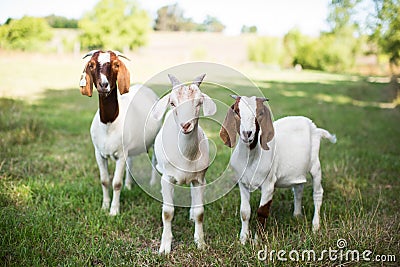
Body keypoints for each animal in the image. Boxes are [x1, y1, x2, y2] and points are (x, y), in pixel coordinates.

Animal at [79, 50, 161, 217]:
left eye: (116, 64)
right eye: (91, 65)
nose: (103, 85)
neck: (109, 123)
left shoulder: (121, 155)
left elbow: (116, 183)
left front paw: (114, 211)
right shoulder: (99, 153)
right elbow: (104, 180)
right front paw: (104, 207)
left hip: (154, 139)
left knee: (154, 159)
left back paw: (152, 183)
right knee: (131, 162)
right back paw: (129, 185)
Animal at [152, 73, 217, 255]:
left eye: (199, 102)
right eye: (172, 103)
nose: (185, 125)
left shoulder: (200, 179)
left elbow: (200, 212)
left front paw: (200, 243)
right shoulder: (167, 178)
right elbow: (168, 212)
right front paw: (165, 247)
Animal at [220, 96, 336, 245]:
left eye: (260, 113)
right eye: (236, 111)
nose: (247, 133)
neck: (251, 157)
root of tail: (315, 128)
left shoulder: (268, 185)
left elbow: (262, 212)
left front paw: (257, 241)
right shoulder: (242, 183)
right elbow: (245, 212)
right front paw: (243, 240)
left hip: (315, 165)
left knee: (317, 193)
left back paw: (315, 226)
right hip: (298, 170)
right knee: (298, 189)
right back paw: (297, 215)